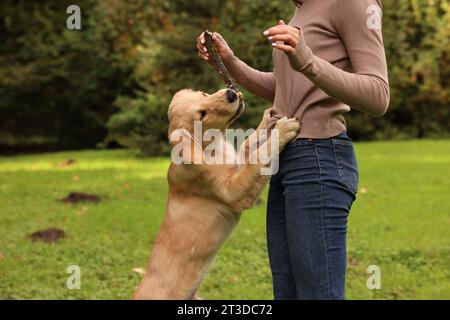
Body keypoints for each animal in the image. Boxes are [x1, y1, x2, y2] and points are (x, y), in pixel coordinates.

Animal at [134, 88, 302, 300]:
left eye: (204, 94)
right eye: (201, 115)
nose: (231, 93)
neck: (212, 147)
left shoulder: (237, 165)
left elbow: (249, 144)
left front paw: (266, 121)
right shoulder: (233, 191)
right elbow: (258, 158)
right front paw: (282, 130)